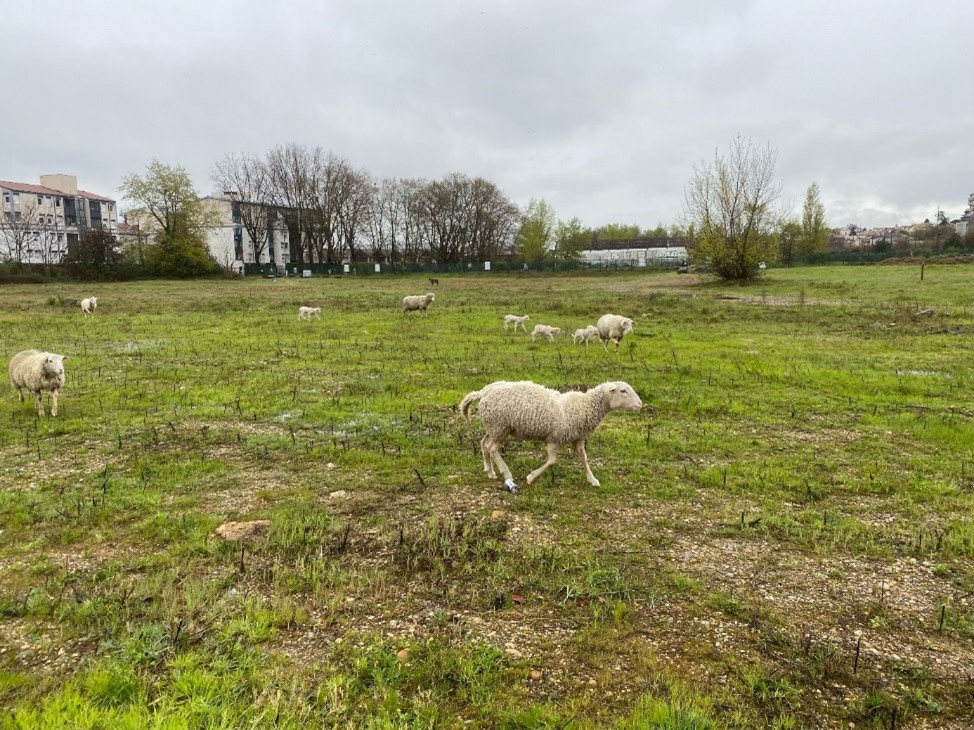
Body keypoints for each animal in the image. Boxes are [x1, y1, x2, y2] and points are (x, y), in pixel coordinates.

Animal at [462, 382, 644, 490]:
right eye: (623, 391)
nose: (640, 404)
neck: (584, 406)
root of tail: (484, 391)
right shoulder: (555, 438)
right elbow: (552, 461)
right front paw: (531, 477)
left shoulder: (578, 438)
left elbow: (584, 458)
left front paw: (592, 479)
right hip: (500, 425)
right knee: (492, 448)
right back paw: (506, 474)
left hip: (494, 427)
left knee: (484, 443)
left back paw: (490, 471)